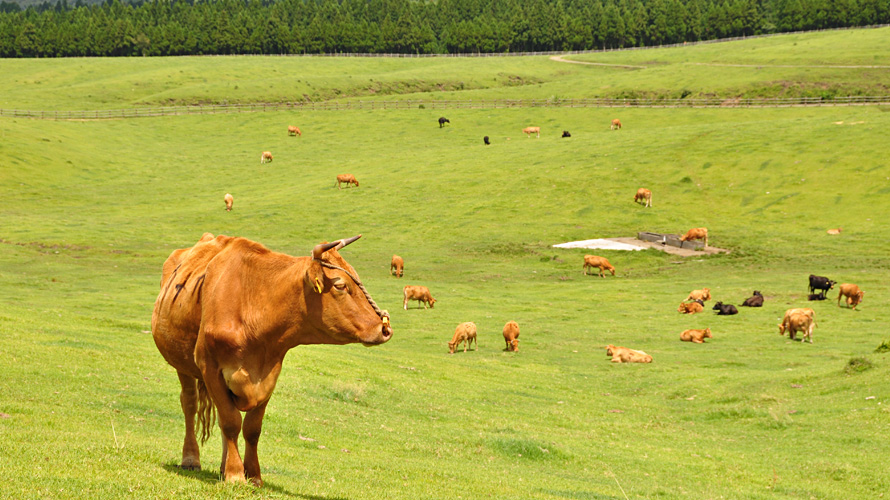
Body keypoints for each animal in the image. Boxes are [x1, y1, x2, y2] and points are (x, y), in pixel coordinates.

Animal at [151, 233, 390, 484]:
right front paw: (235, 474)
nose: (384, 328)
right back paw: (191, 459)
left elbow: (251, 428)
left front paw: (252, 474)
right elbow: (230, 422)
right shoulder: (210, 367)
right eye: (340, 285)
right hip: (183, 365)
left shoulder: (269, 373)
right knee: (190, 404)